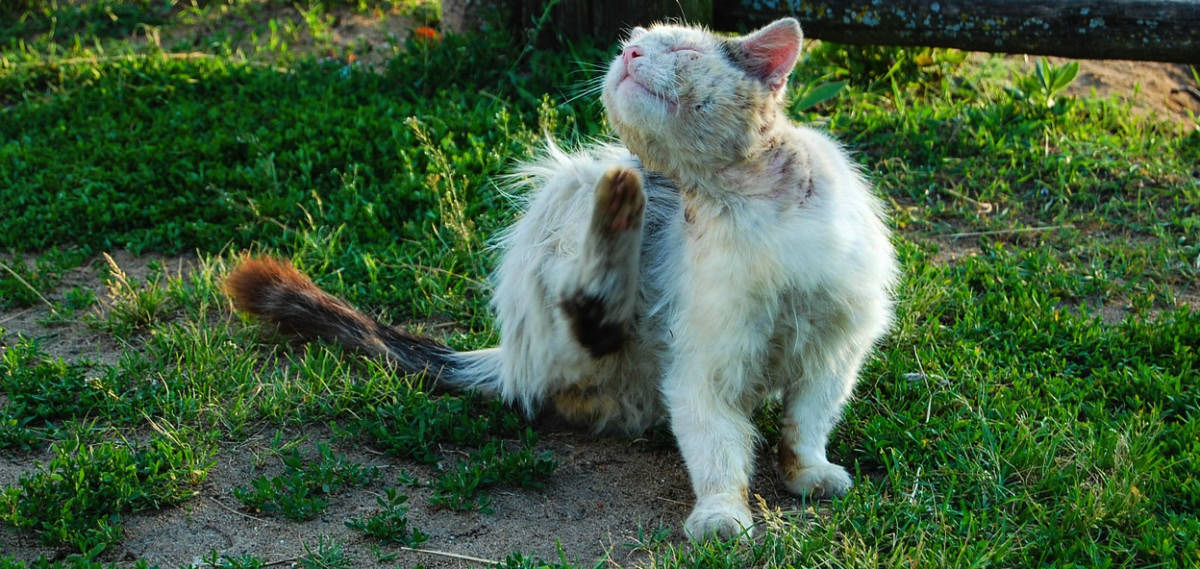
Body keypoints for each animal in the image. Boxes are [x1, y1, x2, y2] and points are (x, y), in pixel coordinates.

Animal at [229, 17, 897, 540]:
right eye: (634, 44)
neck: (744, 205)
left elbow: (805, 422)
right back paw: (619, 211)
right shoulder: (703, 369)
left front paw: (808, 472)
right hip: (573, 185)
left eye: (679, 51)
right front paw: (721, 515)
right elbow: (716, 451)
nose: (628, 55)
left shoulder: (836, 350)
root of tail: (507, 354)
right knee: (583, 315)